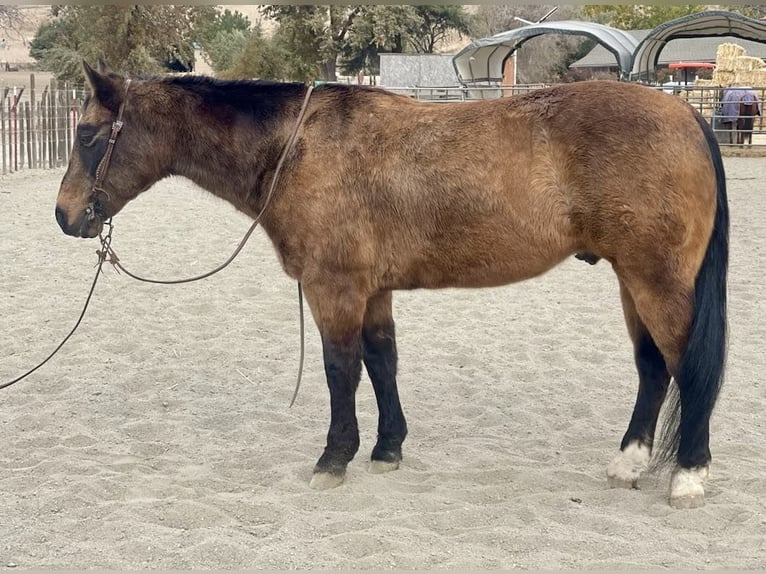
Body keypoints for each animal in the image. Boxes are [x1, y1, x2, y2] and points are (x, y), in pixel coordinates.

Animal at [55, 62, 732, 512]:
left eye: (88, 136)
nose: (64, 216)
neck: (297, 147)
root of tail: (685, 113)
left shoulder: (334, 289)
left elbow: (341, 369)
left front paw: (334, 458)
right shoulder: (372, 291)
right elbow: (382, 361)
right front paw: (387, 449)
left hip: (655, 281)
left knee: (686, 365)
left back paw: (688, 474)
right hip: (631, 280)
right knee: (652, 368)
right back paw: (628, 463)